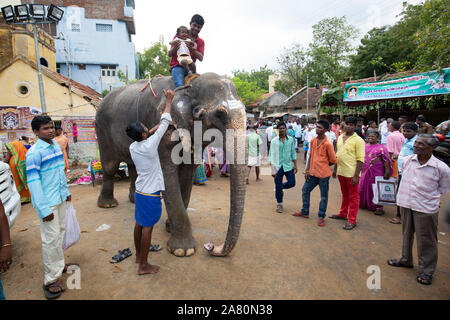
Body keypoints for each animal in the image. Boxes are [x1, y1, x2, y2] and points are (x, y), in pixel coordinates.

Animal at [94, 73, 246, 258]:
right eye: (219, 114)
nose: (212, 247)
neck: (188, 85)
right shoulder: (162, 126)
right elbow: (167, 174)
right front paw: (183, 250)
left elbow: (187, 174)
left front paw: (168, 227)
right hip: (101, 129)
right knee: (110, 166)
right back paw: (108, 204)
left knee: (133, 165)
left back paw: (133, 200)